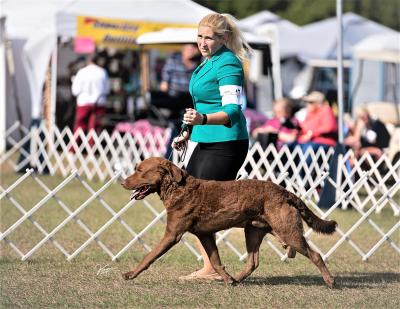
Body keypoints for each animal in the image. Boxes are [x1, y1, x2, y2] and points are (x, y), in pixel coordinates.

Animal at [120, 156, 336, 286]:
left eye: (140, 170)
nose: (122, 182)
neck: (177, 188)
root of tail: (285, 192)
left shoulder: (172, 234)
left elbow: (150, 256)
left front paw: (129, 274)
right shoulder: (205, 235)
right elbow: (215, 261)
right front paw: (227, 279)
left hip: (288, 232)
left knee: (316, 255)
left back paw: (330, 281)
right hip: (254, 231)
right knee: (253, 262)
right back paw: (237, 279)